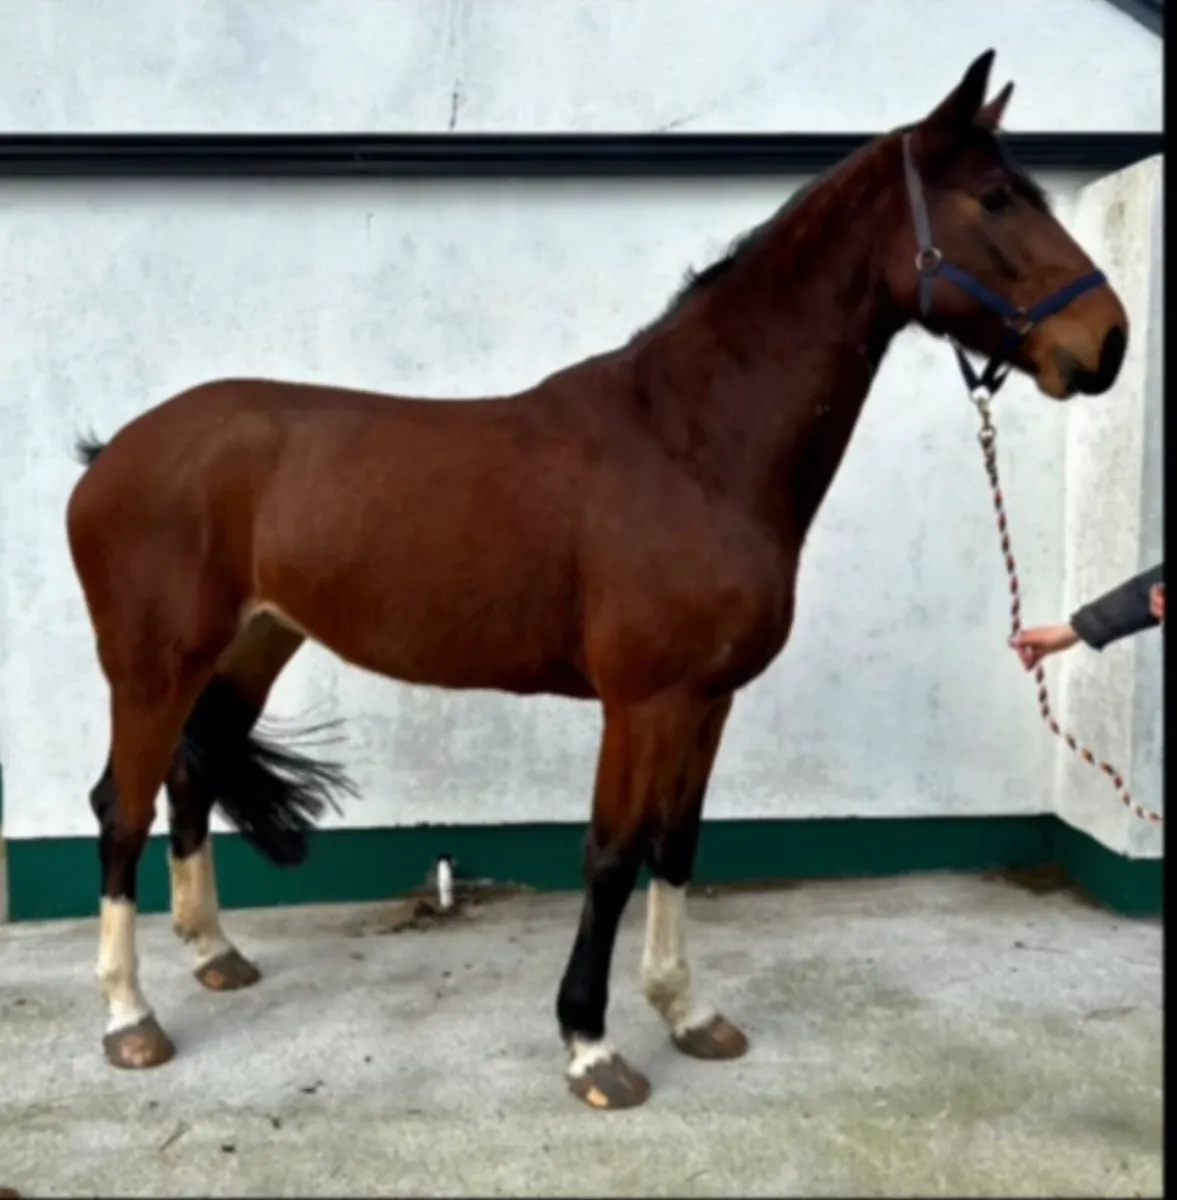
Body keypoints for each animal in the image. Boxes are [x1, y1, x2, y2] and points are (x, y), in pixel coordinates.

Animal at [65, 49, 1128, 1111]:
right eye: (995, 199)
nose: (1108, 342)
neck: (689, 445)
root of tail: (112, 453)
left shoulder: (706, 700)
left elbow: (676, 843)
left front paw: (688, 1013)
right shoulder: (641, 700)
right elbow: (612, 854)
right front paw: (591, 1044)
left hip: (250, 647)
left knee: (190, 778)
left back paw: (215, 955)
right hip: (152, 665)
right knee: (121, 806)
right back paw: (129, 1019)